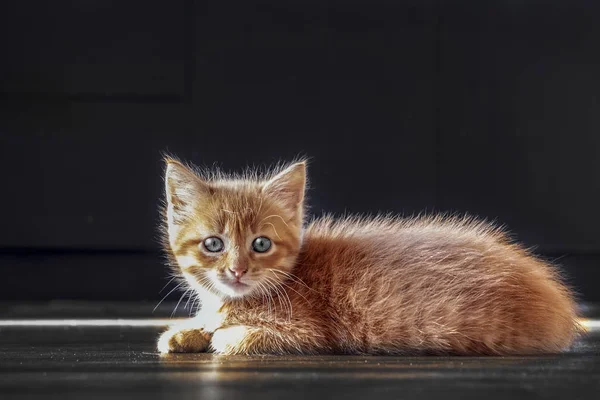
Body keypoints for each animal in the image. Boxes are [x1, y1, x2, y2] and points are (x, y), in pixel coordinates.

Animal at [157, 158, 580, 354]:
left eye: (261, 244)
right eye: (213, 244)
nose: (237, 270)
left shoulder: (311, 331)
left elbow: (236, 336)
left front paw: (219, 334)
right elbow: (207, 323)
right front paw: (186, 332)